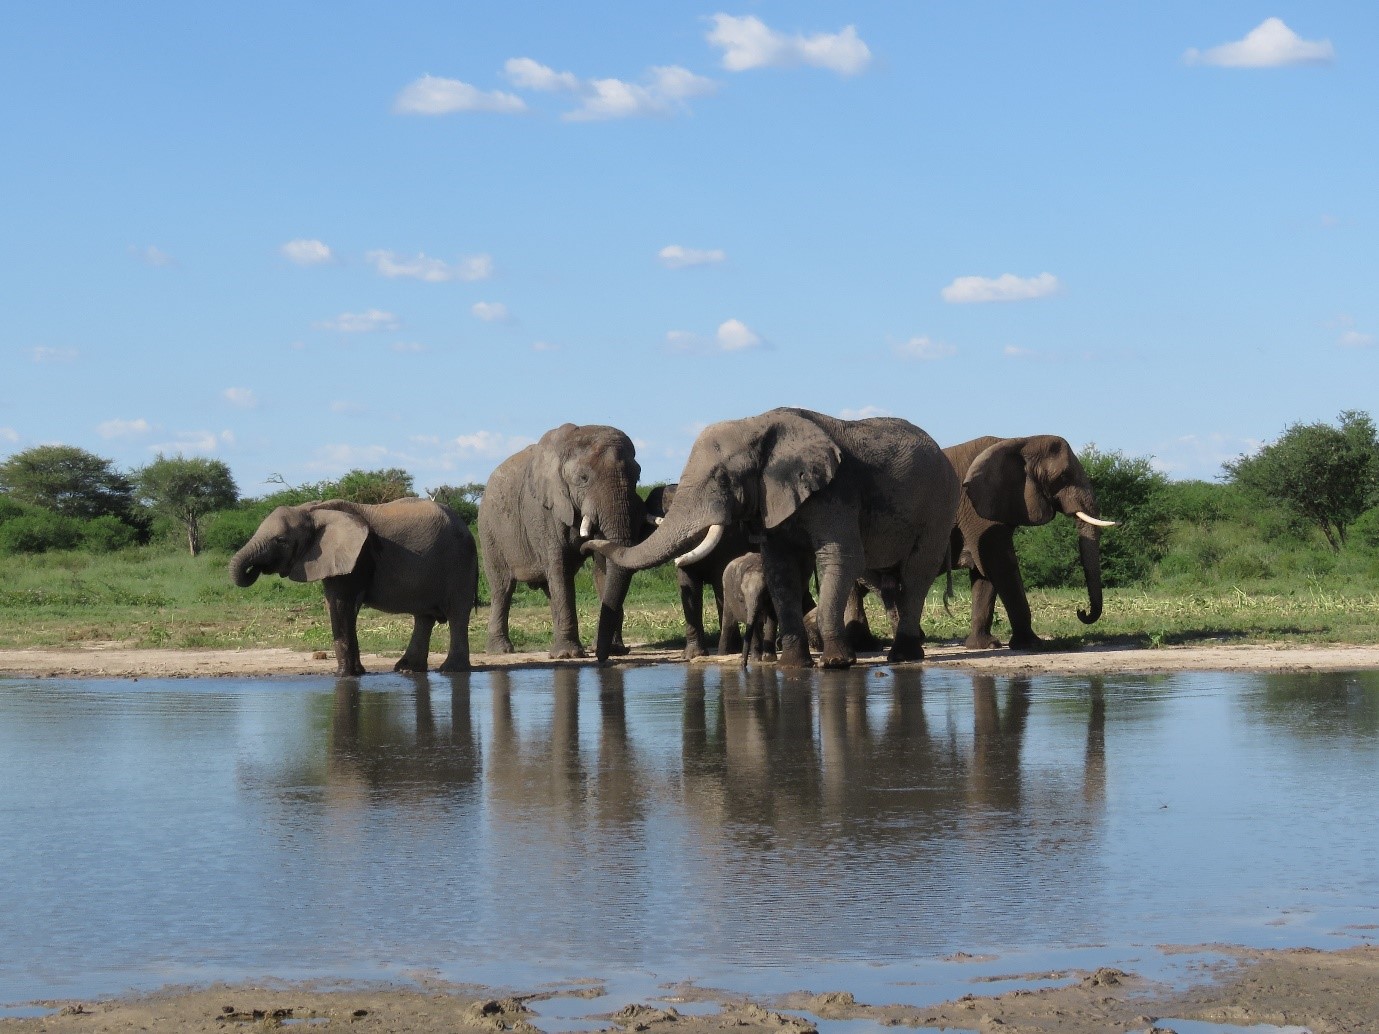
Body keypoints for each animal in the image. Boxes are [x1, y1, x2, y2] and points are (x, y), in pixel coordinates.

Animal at [229, 497, 478, 676]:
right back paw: (407, 669)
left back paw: (450, 670)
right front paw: (357, 673)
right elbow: (337, 605)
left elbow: (341, 605)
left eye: (281, 540)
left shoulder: (357, 557)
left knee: (457, 613)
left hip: (459, 563)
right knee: (424, 617)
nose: (256, 568)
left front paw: (343, 675)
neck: (314, 511)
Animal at [479, 423, 642, 661]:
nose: (601, 656)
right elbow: (559, 567)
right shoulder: (543, 511)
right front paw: (569, 655)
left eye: (637, 476)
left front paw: (614, 651)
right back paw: (501, 650)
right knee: (502, 588)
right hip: (489, 531)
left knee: (549, 589)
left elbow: (603, 566)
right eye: (583, 478)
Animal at [643, 484, 754, 659]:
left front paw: (730, 650)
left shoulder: (731, 537)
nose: (675, 560)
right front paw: (692, 656)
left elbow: (720, 583)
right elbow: (688, 584)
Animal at [945, 435, 1116, 649]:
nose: (1081, 611)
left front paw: (985, 645)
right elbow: (1000, 564)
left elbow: (984, 574)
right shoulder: (977, 511)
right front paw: (1032, 644)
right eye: (1063, 477)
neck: (1018, 441)